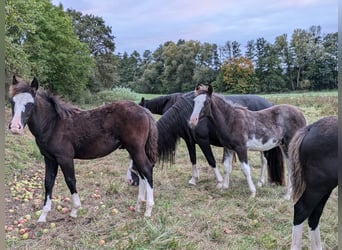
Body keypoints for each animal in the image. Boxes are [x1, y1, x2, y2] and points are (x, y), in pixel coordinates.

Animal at [8, 76, 158, 221]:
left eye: (30, 103)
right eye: (12, 102)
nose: (15, 127)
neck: (52, 124)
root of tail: (143, 110)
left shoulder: (65, 158)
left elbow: (70, 180)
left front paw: (74, 210)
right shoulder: (49, 158)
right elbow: (48, 182)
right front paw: (43, 216)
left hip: (136, 149)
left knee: (146, 169)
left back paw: (148, 210)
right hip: (134, 150)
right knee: (141, 173)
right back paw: (139, 205)